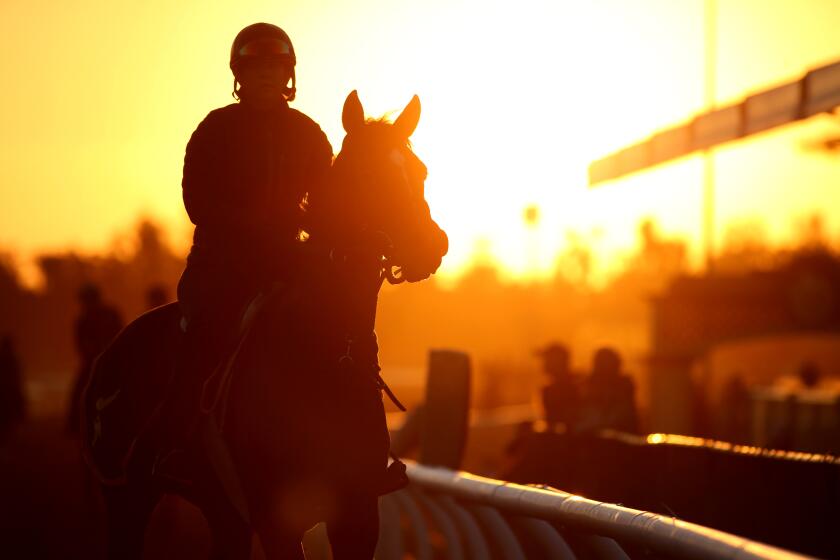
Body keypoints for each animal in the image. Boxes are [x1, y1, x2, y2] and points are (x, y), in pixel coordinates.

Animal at [82, 89, 450, 556]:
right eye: (368, 173)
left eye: (420, 171)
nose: (430, 245)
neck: (327, 355)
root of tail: (108, 353)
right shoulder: (279, 521)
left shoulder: (359, 512)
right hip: (125, 495)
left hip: (221, 509)